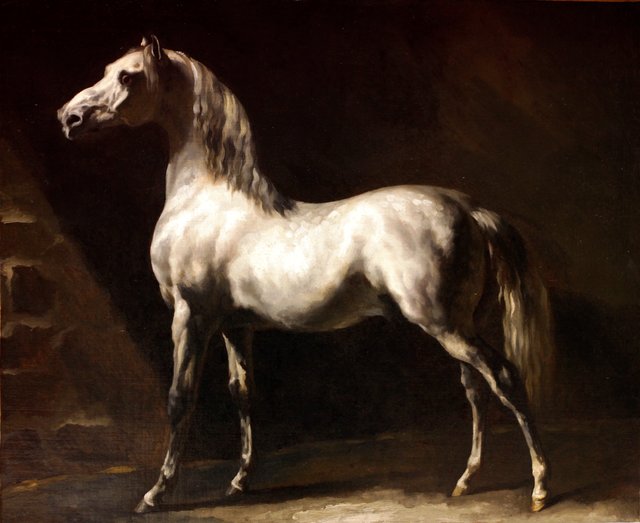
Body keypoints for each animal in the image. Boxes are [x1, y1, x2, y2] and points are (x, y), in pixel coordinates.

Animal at [58, 36, 556, 513]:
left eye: (128, 76)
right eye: (108, 70)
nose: (69, 117)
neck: (205, 200)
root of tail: (470, 208)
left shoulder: (190, 318)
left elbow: (180, 400)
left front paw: (155, 494)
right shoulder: (235, 327)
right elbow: (242, 393)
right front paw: (239, 481)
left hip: (445, 325)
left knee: (504, 378)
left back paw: (539, 486)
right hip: (456, 325)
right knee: (475, 389)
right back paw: (466, 481)